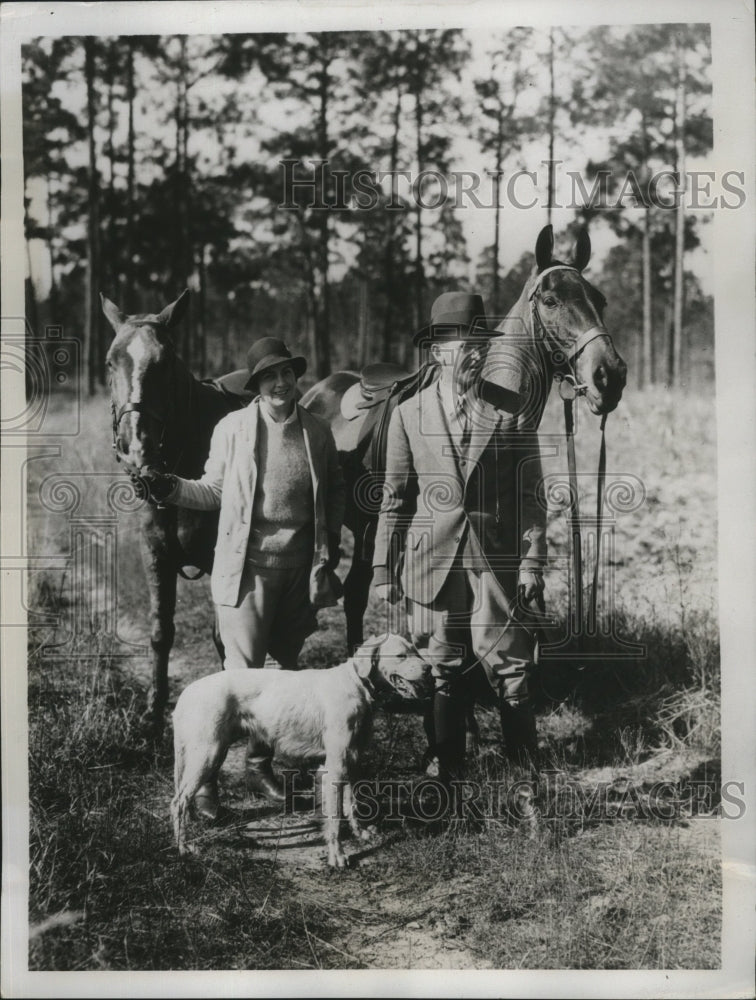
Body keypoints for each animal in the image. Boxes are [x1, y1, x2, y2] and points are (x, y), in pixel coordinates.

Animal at [100, 290, 251, 728]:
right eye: (110, 361)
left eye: (165, 363)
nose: (136, 446)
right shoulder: (155, 556)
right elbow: (160, 633)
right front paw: (153, 711)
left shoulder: (226, 563)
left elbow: (224, 638)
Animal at [171, 636, 432, 864]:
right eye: (401, 655)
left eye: (416, 650)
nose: (429, 668)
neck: (355, 684)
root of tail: (188, 692)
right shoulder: (335, 766)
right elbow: (335, 817)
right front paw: (337, 856)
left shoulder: (351, 761)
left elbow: (352, 804)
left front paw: (361, 833)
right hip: (208, 753)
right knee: (178, 802)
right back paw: (183, 848)